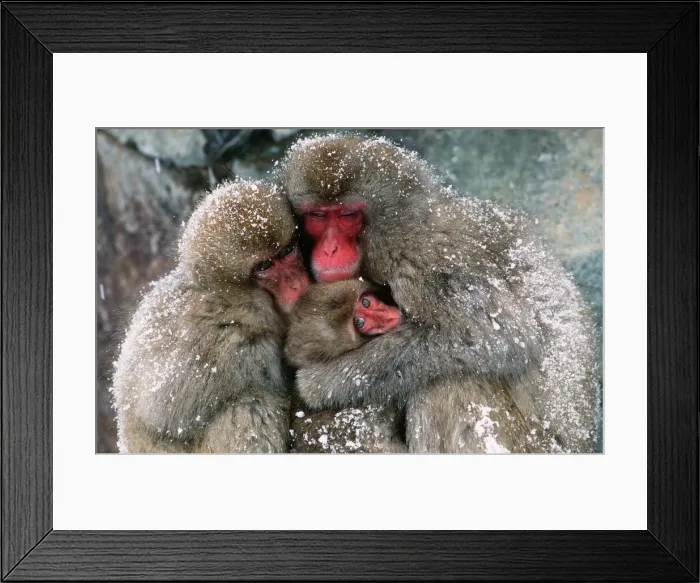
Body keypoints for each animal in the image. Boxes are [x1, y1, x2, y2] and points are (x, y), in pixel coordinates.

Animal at [110, 179, 310, 453]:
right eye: (264, 266)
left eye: (287, 250)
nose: (296, 282)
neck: (230, 303)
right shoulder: (229, 347)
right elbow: (166, 411)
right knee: (251, 406)